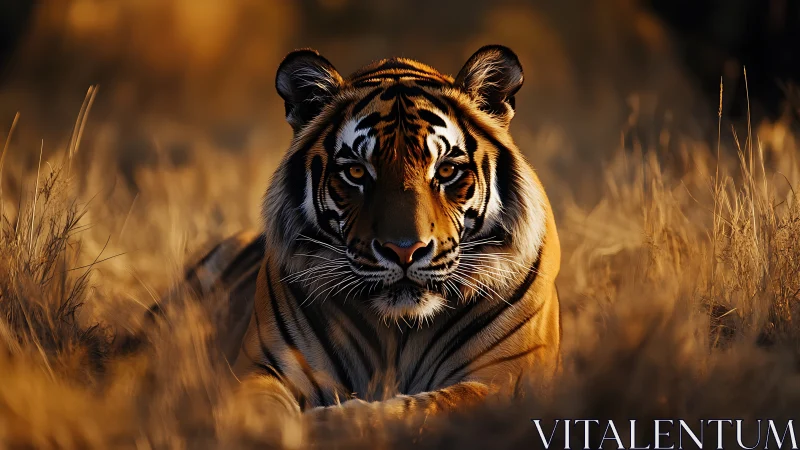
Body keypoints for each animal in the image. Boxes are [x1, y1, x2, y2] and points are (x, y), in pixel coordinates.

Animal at [180, 45, 562, 421]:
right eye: (356, 172)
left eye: (446, 170)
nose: (405, 250)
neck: (398, 333)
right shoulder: (266, 368)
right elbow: (265, 416)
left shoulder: (503, 378)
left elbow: (411, 409)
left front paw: (331, 421)